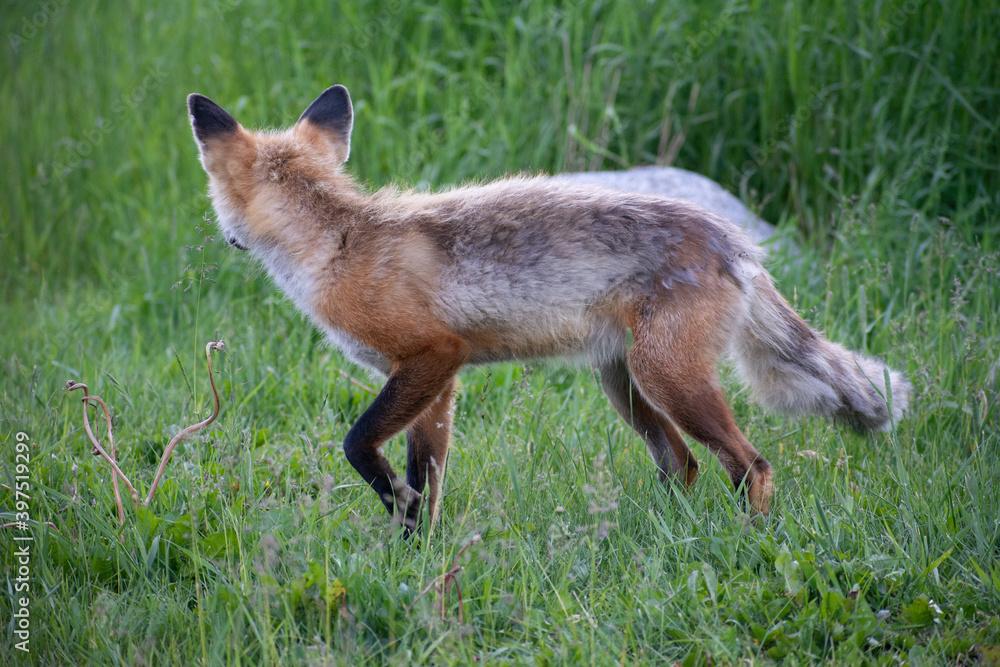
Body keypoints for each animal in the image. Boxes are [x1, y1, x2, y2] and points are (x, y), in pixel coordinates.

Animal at [188, 85, 910, 535]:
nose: (224, 238)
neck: (339, 243)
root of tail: (734, 239)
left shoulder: (430, 355)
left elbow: (359, 444)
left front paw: (395, 506)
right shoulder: (439, 383)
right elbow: (429, 479)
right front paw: (416, 552)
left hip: (668, 378)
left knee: (751, 466)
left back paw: (746, 543)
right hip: (625, 384)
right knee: (685, 464)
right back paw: (666, 536)